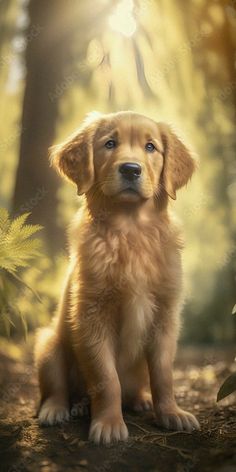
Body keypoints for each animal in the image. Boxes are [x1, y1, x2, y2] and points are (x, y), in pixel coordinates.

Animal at [35, 110, 200, 442]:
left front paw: (172, 413)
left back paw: (139, 400)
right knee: (57, 387)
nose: (131, 169)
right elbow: (106, 378)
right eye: (109, 144)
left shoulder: (165, 315)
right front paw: (109, 424)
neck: (131, 231)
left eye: (150, 147)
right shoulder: (92, 315)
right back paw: (58, 410)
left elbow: (164, 374)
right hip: (49, 345)